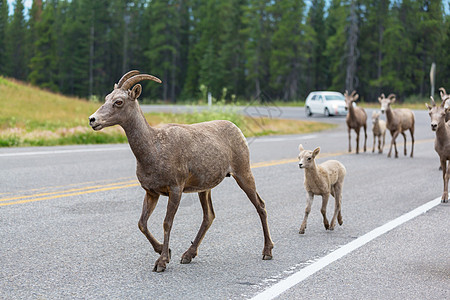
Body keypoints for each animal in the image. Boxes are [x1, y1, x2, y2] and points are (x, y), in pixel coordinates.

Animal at [86, 70, 272, 272]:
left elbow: (167, 223)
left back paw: (267, 252)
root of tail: (237, 130)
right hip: (204, 189)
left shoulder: (175, 189)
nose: (92, 120)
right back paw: (188, 255)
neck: (154, 150)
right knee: (209, 216)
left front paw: (162, 262)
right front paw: (164, 251)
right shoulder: (151, 192)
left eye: (119, 101)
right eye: (106, 98)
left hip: (243, 174)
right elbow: (142, 223)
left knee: (260, 206)